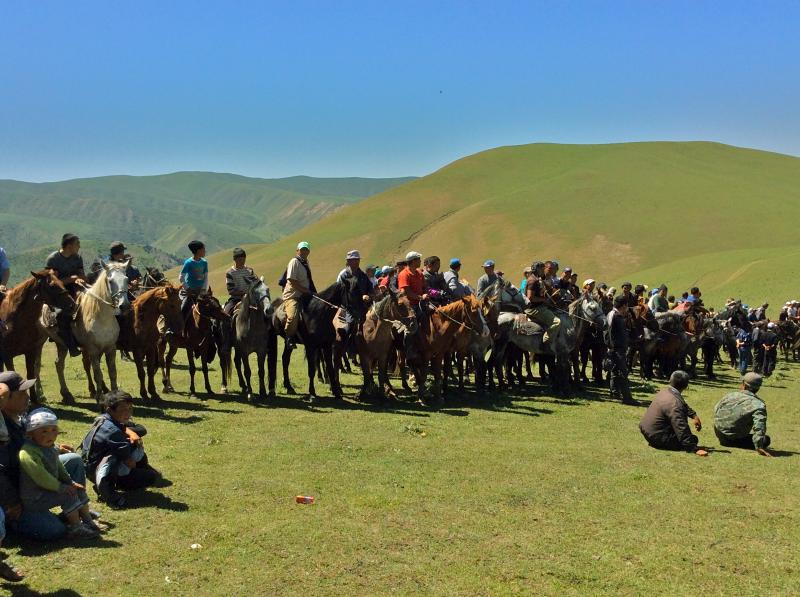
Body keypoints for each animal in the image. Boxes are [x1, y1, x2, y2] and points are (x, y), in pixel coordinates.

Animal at [0, 272, 75, 402]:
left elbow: (31, 373)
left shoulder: (30, 352)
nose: (72, 304)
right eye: (52, 286)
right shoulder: (7, 356)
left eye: (61, 282)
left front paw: (34, 399)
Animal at [44, 262, 131, 406]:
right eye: (110, 281)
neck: (101, 317)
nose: (124, 305)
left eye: (126, 279)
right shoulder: (93, 349)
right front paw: (100, 398)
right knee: (59, 365)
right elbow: (98, 374)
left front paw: (114, 394)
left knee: (82, 364)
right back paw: (67, 394)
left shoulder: (110, 348)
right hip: (61, 344)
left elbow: (112, 372)